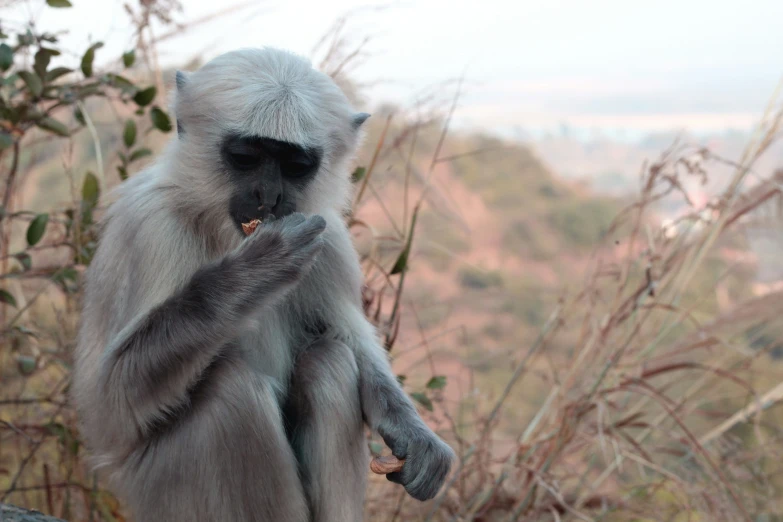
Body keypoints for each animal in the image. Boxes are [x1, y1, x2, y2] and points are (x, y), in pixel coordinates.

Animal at [72, 46, 460, 516]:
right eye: (246, 157)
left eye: (295, 166)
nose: (268, 197)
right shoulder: (151, 223)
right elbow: (113, 402)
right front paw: (259, 269)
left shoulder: (327, 235)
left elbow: (347, 336)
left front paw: (412, 432)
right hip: (158, 491)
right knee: (233, 390)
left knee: (328, 361)